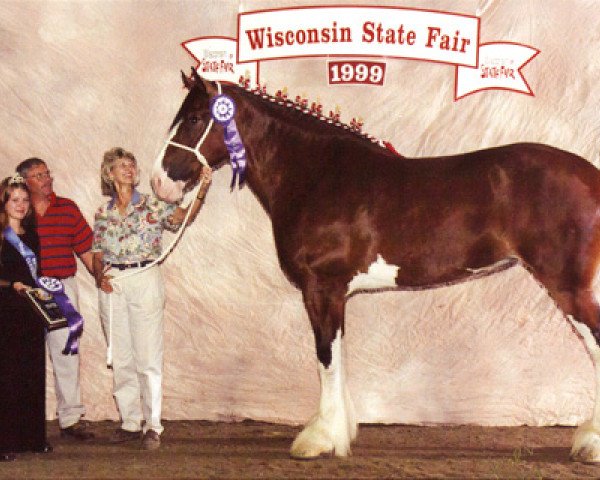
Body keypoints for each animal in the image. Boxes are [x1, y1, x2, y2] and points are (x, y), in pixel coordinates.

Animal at [151, 67, 600, 462]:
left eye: (194, 118)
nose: (159, 182)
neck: (314, 175)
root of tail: (590, 176)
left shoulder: (321, 288)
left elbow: (326, 359)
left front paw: (319, 439)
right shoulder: (336, 294)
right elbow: (338, 356)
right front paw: (341, 431)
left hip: (567, 286)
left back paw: (589, 445)